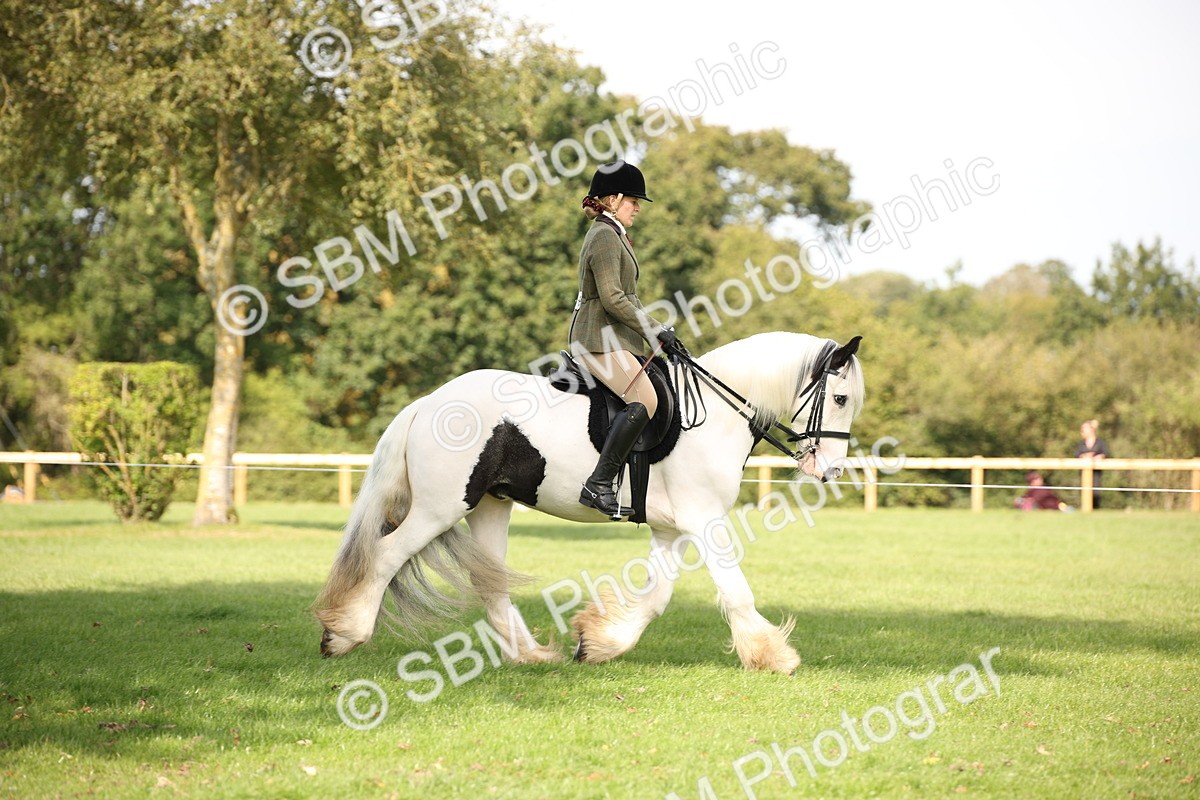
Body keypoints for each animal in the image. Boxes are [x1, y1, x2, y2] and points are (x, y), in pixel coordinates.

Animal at [316, 331, 864, 674]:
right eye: (840, 399)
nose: (831, 470)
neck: (714, 414)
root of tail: (428, 401)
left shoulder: (671, 528)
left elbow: (657, 598)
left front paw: (598, 644)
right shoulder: (703, 519)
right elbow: (736, 591)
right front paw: (773, 656)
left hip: (491, 505)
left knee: (489, 582)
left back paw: (531, 655)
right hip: (441, 508)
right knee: (385, 556)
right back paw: (344, 635)